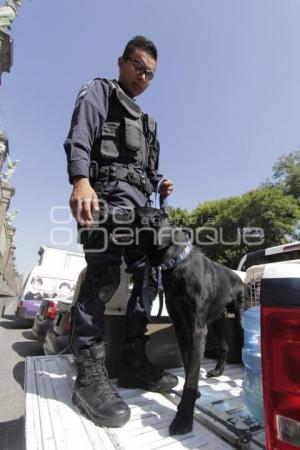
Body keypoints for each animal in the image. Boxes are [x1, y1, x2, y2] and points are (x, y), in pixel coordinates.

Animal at [134, 207, 248, 436]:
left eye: (131, 215)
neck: (174, 263)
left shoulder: (196, 329)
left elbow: (193, 375)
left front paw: (183, 418)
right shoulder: (181, 326)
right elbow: (188, 365)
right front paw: (193, 397)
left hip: (238, 313)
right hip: (217, 321)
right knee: (224, 345)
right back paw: (219, 370)